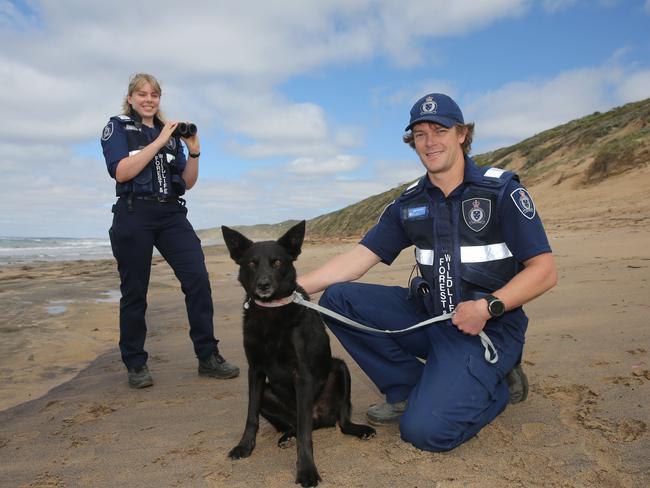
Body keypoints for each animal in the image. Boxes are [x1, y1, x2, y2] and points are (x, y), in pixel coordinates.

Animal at [223, 222, 374, 488]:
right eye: (251, 263)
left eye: (276, 262)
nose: (263, 285)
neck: (270, 312)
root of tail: (320, 418)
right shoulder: (255, 371)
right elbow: (251, 416)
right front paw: (245, 446)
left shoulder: (302, 375)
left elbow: (306, 435)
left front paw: (306, 470)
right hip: (270, 395)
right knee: (298, 423)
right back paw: (288, 435)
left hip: (339, 368)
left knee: (336, 422)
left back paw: (358, 429)